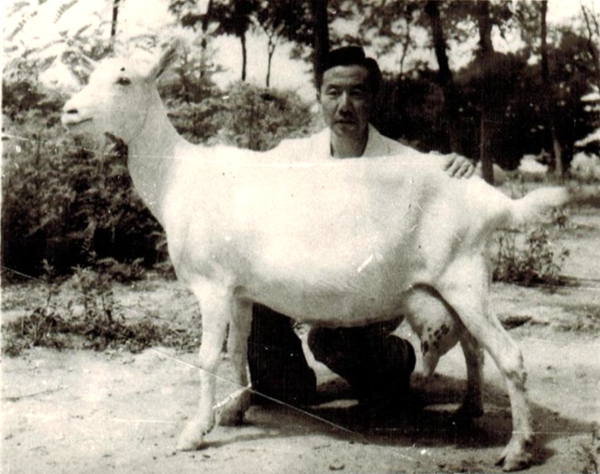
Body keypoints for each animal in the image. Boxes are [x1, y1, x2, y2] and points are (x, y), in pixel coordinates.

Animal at [61, 43, 568, 472]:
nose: (69, 111)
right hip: (457, 281)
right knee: (473, 347)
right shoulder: (238, 290)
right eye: (91, 75)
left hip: (462, 276)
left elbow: (206, 358)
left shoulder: (211, 285)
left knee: (509, 355)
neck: (177, 177)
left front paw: (193, 432)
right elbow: (237, 350)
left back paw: (517, 450)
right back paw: (467, 410)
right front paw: (236, 408)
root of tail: (492, 201)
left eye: (124, 79)